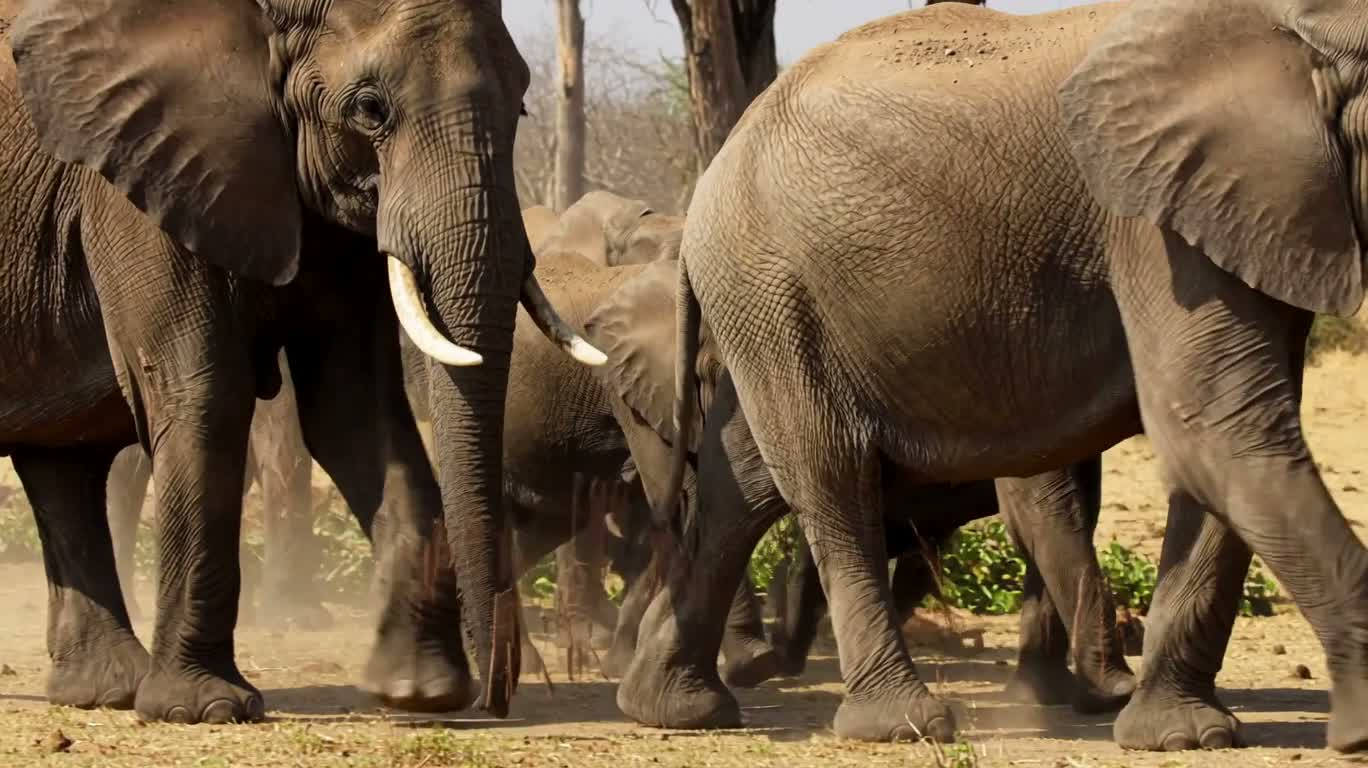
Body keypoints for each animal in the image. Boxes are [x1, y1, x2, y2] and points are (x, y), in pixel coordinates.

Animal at [0, 0, 602, 724]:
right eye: (370, 108)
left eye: (520, 104)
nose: (498, 694)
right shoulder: (135, 179)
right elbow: (206, 394)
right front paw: (207, 709)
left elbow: (355, 411)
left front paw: (419, 691)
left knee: (63, 462)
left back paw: (104, 690)